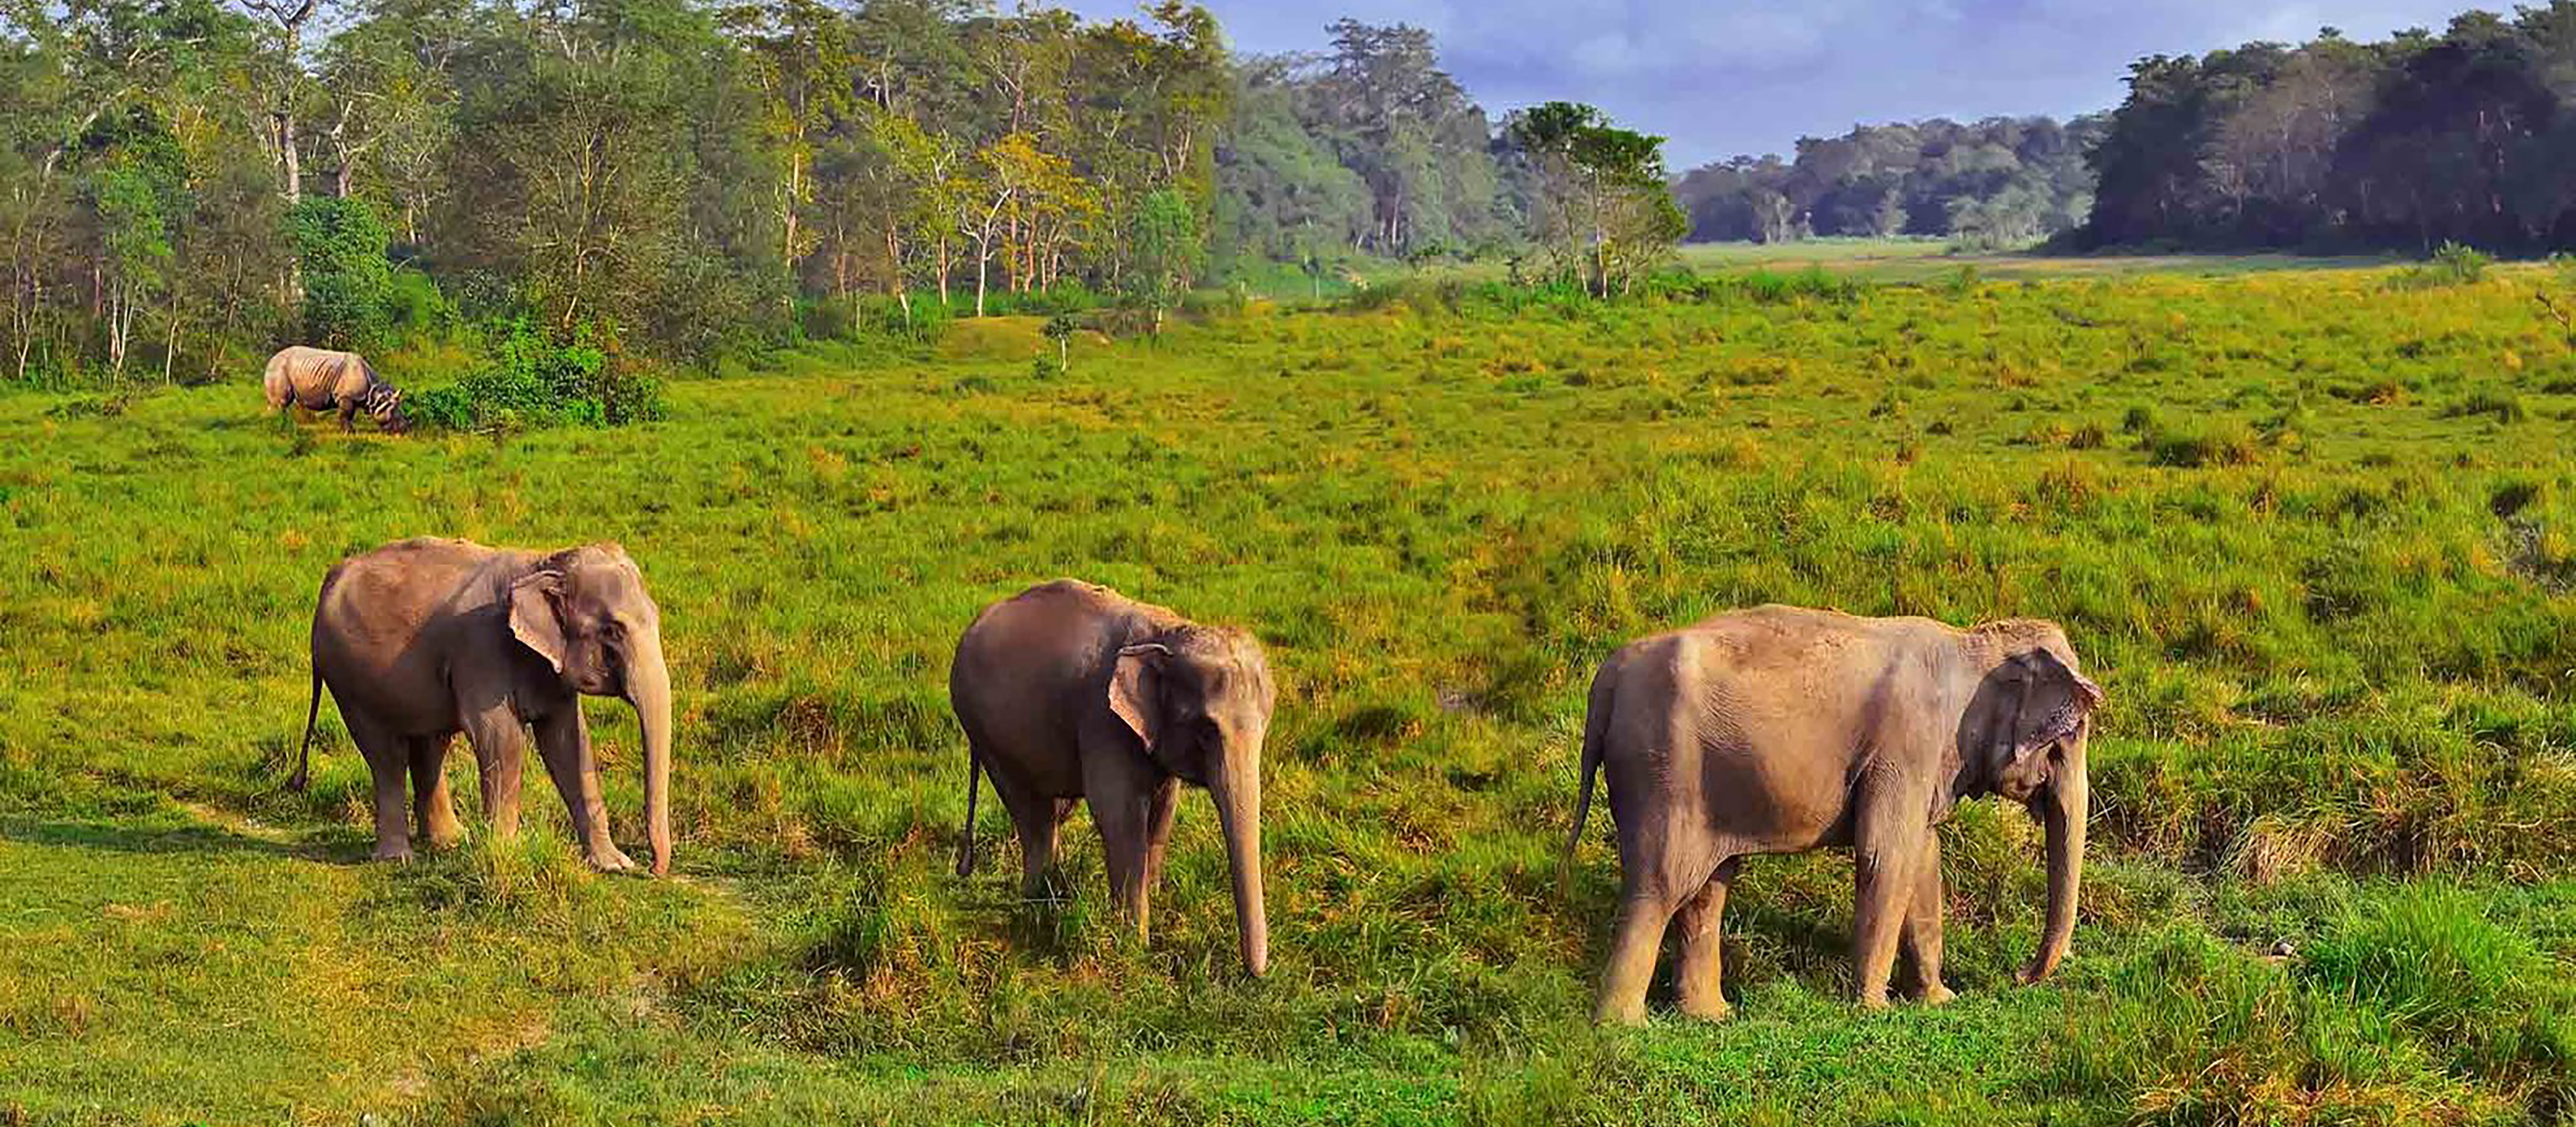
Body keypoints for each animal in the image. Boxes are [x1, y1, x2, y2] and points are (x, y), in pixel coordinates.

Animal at [263, 342, 407, 432]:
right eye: (393, 413)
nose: (405, 429)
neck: (376, 394)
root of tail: (271, 359)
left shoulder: (351, 398)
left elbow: (350, 415)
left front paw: (351, 431)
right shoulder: (346, 396)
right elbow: (346, 414)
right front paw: (348, 433)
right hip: (279, 368)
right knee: (281, 402)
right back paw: (278, 428)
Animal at [294, 535, 675, 869]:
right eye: (612, 631)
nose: (653, 868)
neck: (541, 563)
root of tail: (333, 574)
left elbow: (569, 742)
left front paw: (613, 865)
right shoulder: (481, 648)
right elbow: (501, 738)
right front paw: (508, 851)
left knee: (431, 746)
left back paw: (449, 840)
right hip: (349, 680)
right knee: (386, 755)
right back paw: (397, 858)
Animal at [953, 581, 1272, 978]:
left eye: (1265, 726)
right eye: (1204, 731)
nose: (1253, 974)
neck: (1165, 632)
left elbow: (1164, 810)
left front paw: (1154, 901)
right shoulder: (1102, 718)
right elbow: (1120, 814)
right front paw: (1136, 944)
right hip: (985, 731)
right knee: (1030, 810)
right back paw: (1036, 896)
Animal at [1556, 607, 2102, 1019]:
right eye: (2070, 736)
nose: (2019, 975)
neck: (1970, 642)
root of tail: (1608, 675)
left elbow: (1923, 859)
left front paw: (1938, 1000)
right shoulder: (1907, 745)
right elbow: (1887, 856)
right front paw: (1874, 1009)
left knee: (1707, 889)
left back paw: (1711, 1016)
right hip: (1662, 770)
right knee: (1662, 885)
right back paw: (1624, 1026)